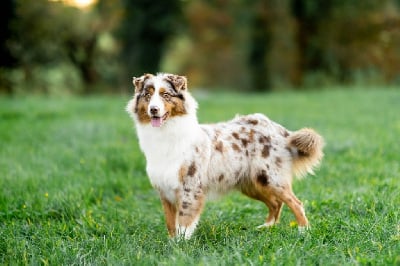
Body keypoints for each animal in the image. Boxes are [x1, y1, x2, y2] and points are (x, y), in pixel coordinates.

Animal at [126, 72, 324, 239]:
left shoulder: (190, 188)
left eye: (165, 95)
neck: (166, 135)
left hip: (271, 178)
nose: (153, 109)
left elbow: (183, 220)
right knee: (275, 203)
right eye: (148, 96)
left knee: (296, 203)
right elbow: (170, 223)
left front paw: (180, 246)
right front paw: (171, 243)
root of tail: (277, 128)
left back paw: (304, 231)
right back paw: (267, 227)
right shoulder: (165, 191)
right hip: (253, 183)